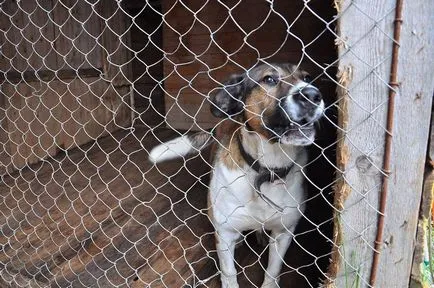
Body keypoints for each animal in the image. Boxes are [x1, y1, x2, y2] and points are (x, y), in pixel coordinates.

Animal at [147, 63, 324, 288]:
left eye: (307, 78)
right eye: (269, 79)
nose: (313, 94)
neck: (266, 171)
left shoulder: (284, 233)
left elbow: (273, 271)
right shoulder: (225, 234)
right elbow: (229, 272)